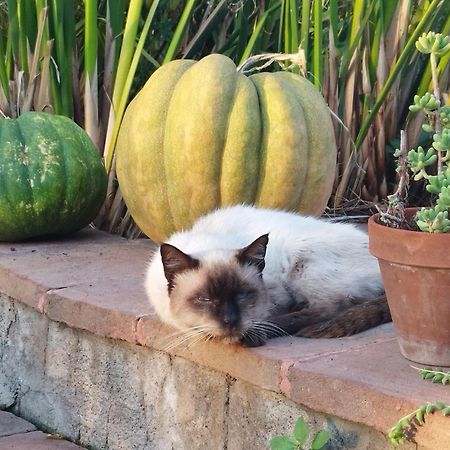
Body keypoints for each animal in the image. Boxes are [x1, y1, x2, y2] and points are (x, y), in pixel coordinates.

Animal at [145, 206, 390, 346]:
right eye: (205, 299)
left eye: (242, 296)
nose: (230, 322)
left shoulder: (274, 297)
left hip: (302, 262)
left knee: (331, 308)